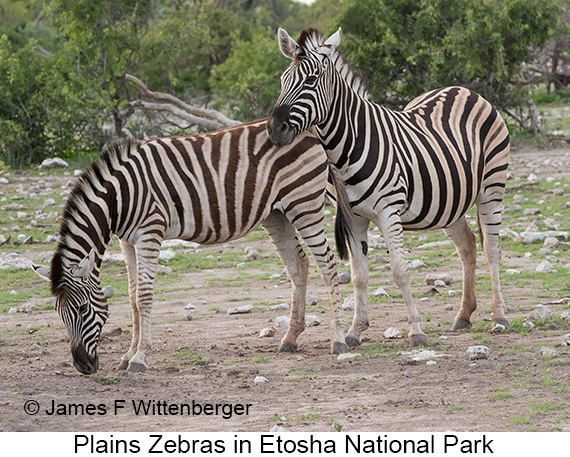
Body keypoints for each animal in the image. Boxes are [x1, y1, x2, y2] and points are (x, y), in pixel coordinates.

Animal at [33, 119, 352, 372]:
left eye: (83, 309)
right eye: (60, 313)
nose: (82, 366)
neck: (118, 199)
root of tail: (309, 133)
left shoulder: (150, 232)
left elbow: (144, 297)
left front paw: (139, 358)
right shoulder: (127, 241)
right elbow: (132, 297)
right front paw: (127, 355)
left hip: (305, 205)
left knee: (327, 265)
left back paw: (338, 340)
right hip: (277, 214)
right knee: (299, 264)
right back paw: (290, 338)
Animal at [268, 28, 510, 348]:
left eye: (311, 80)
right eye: (283, 80)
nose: (274, 129)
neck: (346, 147)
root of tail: (463, 89)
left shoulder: (388, 212)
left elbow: (399, 271)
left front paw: (416, 330)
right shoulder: (354, 218)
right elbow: (359, 274)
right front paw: (355, 331)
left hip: (491, 187)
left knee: (491, 249)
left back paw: (499, 317)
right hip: (450, 201)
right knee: (468, 246)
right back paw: (464, 315)